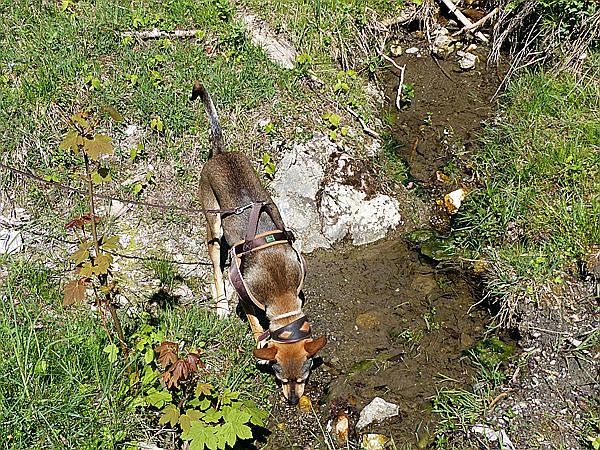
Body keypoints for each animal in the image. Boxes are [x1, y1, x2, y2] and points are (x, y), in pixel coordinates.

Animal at [192, 81, 326, 404]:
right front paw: (261, 347)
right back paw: (221, 304)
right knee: (215, 262)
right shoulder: (247, 299)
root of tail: (220, 152)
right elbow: (256, 327)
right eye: (281, 379)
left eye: (303, 378)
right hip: (213, 224)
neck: (280, 288)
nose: (293, 400)